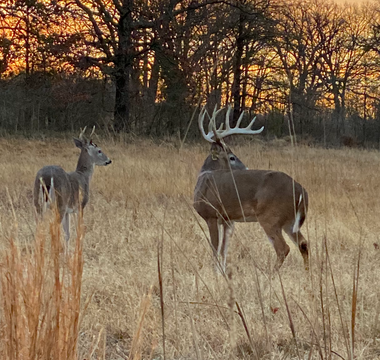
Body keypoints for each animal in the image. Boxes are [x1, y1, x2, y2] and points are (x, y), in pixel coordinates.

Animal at [193, 107, 308, 272]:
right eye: (232, 157)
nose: (246, 168)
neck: (204, 178)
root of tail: (301, 190)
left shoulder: (211, 214)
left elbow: (215, 248)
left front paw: (215, 272)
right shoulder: (228, 220)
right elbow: (223, 250)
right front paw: (222, 271)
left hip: (271, 217)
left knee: (283, 248)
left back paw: (271, 273)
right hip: (290, 221)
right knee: (303, 244)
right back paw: (307, 272)